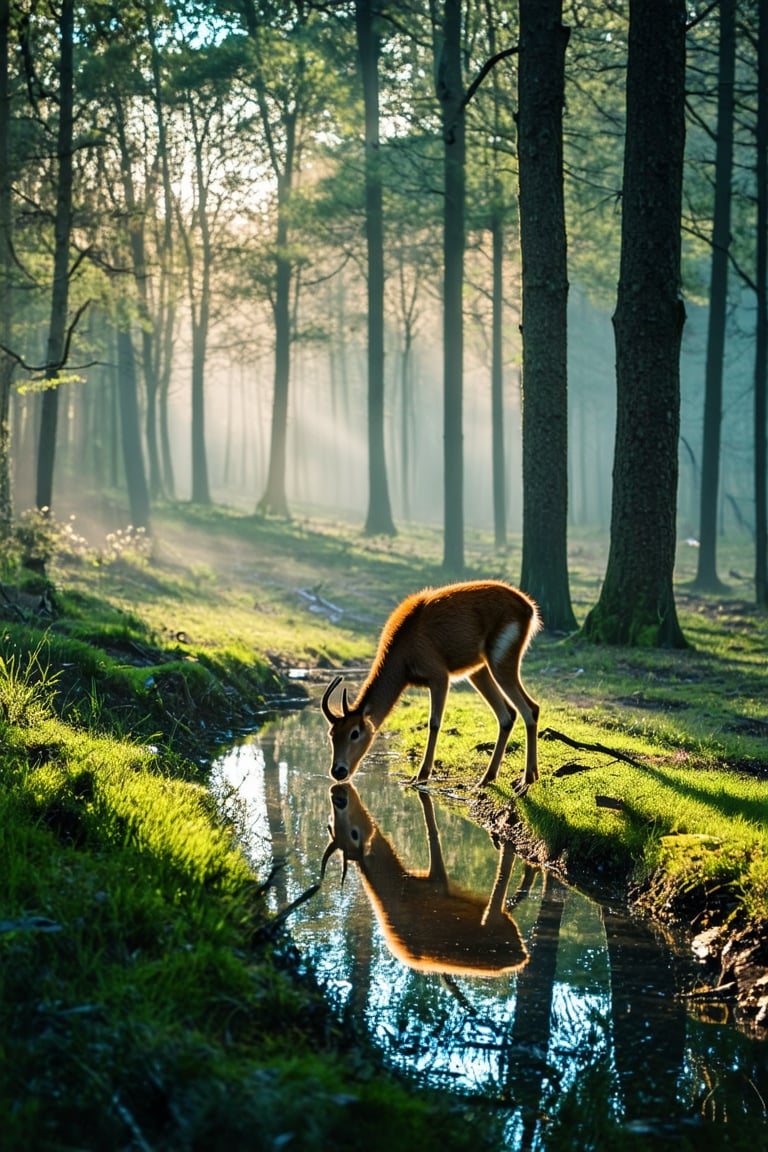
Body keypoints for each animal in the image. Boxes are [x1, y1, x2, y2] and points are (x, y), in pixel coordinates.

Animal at [317, 580, 541, 797]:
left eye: (354, 733)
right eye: (332, 733)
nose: (338, 771)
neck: (405, 643)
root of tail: (527, 606)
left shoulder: (440, 678)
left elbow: (433, 722)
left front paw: (421, 775)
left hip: (499, 664)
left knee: (530, 709)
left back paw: (526, 781)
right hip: (478, 671)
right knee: (507, 715)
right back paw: (486, 779)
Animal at [322, 778, 531, 976]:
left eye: (354, 834)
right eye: (332, 826)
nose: (337, 793)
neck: (399, 889)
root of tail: (522, 956)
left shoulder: (437, 883)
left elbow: (434, 836)